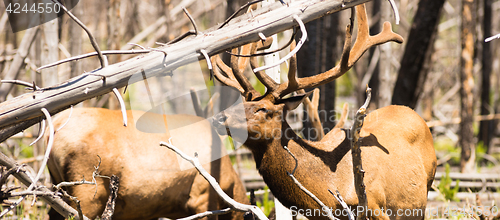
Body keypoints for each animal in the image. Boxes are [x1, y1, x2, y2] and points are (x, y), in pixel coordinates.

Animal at [211, 3, 438, 220]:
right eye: (237, 104)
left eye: (263, 108)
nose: (218, 118)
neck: (326, 190)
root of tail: (414, 113)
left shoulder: (375, 205)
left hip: (424, 191)